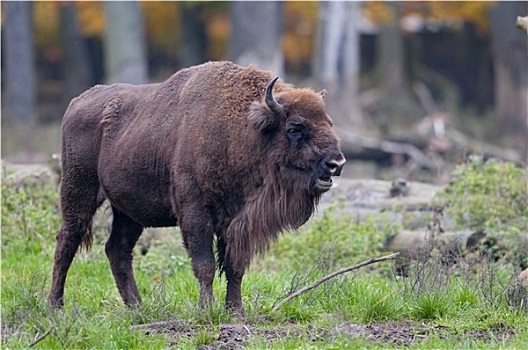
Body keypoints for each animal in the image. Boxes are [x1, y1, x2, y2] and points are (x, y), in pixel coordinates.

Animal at [48, 60, 346, 314]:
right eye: (295, 128)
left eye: (329, 123)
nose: (336, 163)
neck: (243, 131)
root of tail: (76, 103)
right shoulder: (195, 211)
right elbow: (205, 264)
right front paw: (206, 309)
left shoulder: (235, 221)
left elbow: (235, 266)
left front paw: (235, 311)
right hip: (78, 191)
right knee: (67, 240)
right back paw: (55, 306)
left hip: (129, 212)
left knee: (117, 250)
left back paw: (137, 308)